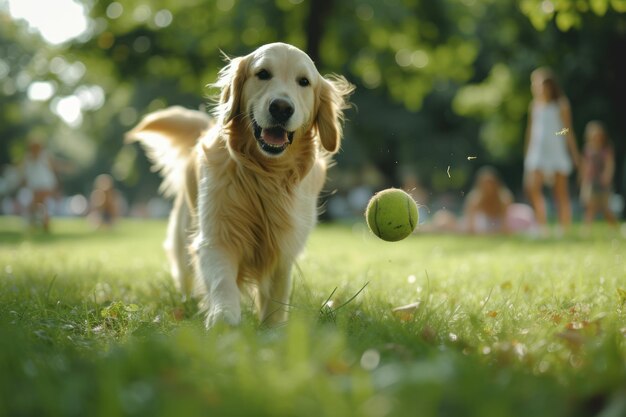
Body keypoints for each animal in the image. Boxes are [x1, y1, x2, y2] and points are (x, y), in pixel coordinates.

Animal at [127, 42, 352, 328]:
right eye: (262, 73)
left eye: (304, 82)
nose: (281, 108)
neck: (266, 175)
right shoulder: (216, 237)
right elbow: (223, 282)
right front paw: (224, 318)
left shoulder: (284, 244)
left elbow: (277, 294)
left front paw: (272, 329)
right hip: (184, 238)